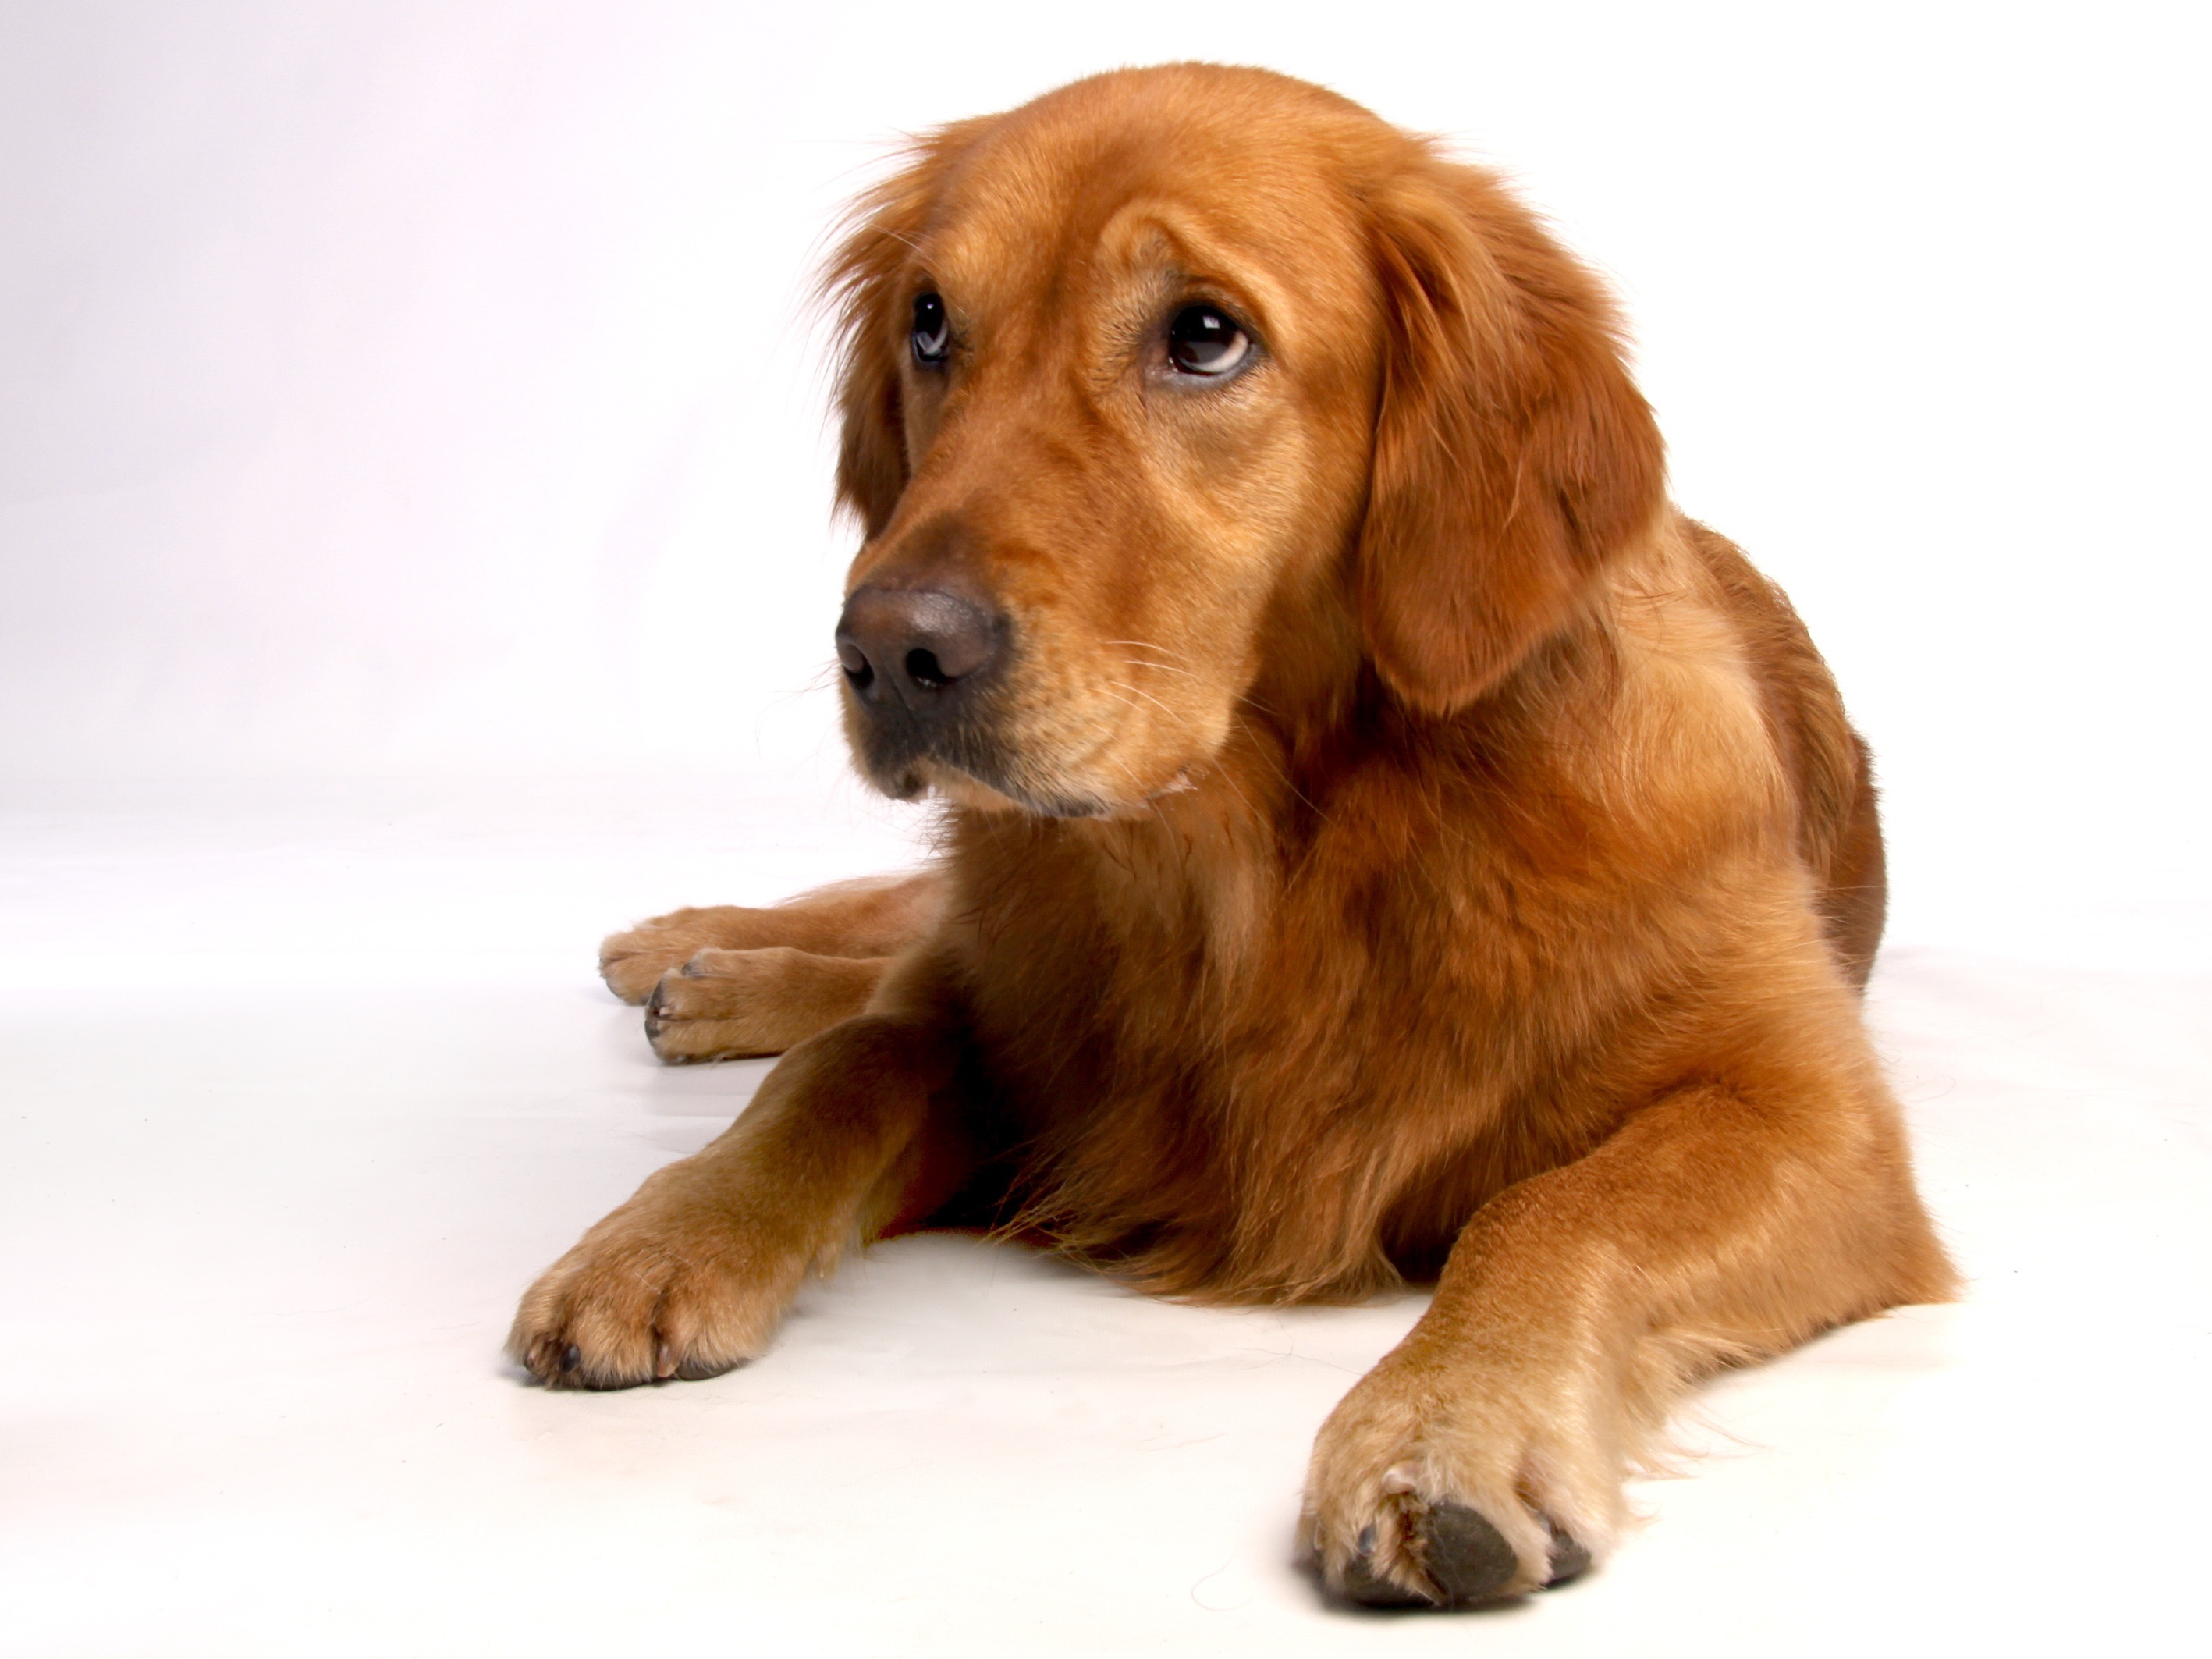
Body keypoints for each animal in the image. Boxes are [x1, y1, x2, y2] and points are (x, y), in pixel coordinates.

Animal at [513, 65, 1955, 1610]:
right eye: (931, 323)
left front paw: (1444, 1423)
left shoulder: (1808, 1112)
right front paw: (665, 1233)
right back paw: (696, 960)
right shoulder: (1002, 1006)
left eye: (1204, 336)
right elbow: (849, 1066)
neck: (1266, 870)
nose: (889, 653)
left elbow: (1561, 1207)